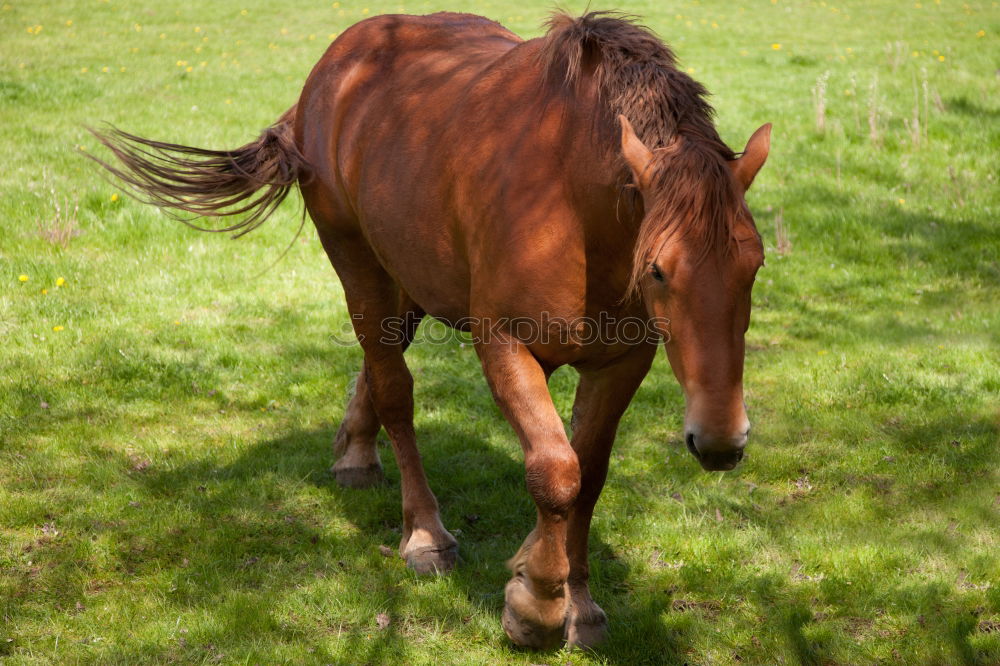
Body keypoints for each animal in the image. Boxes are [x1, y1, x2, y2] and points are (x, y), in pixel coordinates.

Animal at [88, 7, 772, 644]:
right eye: (658, 270)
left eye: (756, 264)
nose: (721, 441)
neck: (574, 206)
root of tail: (334, 66)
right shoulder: (503, 345)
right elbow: (556, 473)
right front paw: (536, 607)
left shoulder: (621, 362)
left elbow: (590, 474)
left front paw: (573, 599)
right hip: (358, 263)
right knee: (394, 388)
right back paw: (423, 534)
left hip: (412, 279)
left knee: (378, 369)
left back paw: (355, 455)